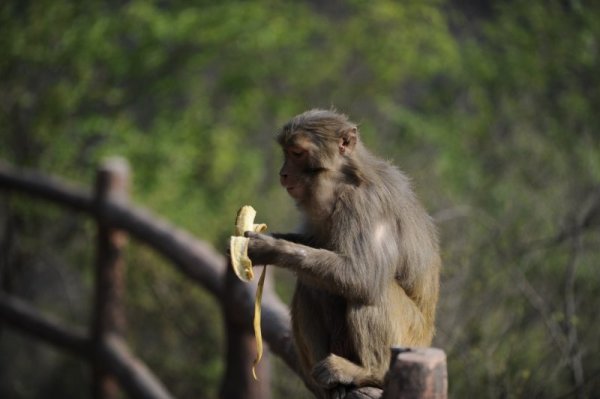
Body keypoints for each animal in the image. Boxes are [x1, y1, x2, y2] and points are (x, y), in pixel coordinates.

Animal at [246, 110, 438, 399]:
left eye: (297, 153)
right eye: (286, 152)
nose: (283, 173)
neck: (344, 178)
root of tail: (429, 336)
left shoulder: (364, 204)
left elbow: (363, 276)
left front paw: (270, 249)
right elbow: (317, 246)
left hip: (411, 335)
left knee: (372, 290)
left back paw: (370, 372)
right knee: (312, 287)